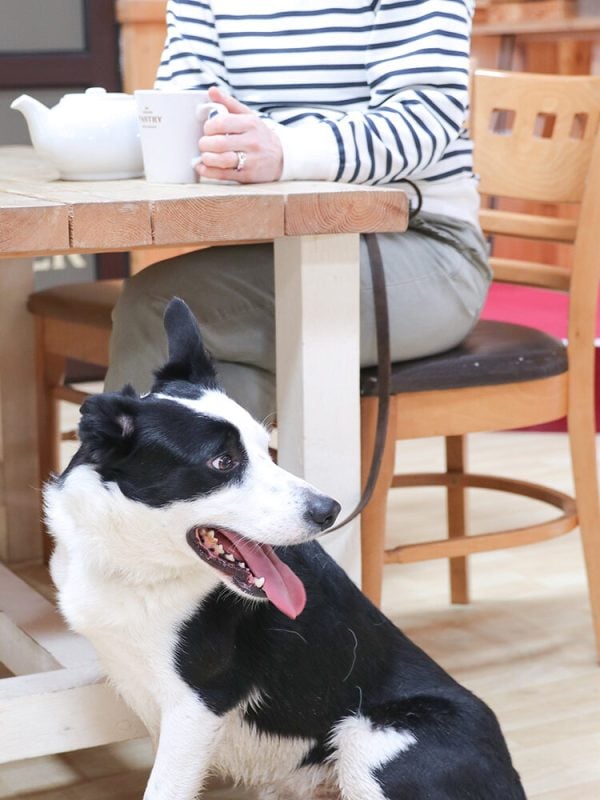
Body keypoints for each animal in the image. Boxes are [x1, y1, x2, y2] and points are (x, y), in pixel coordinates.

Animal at [45, 300, 524, 800]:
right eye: (223, 461)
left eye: (265, 447)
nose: (329, 510)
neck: (134, 566)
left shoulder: (195, 708)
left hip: (367, 737)